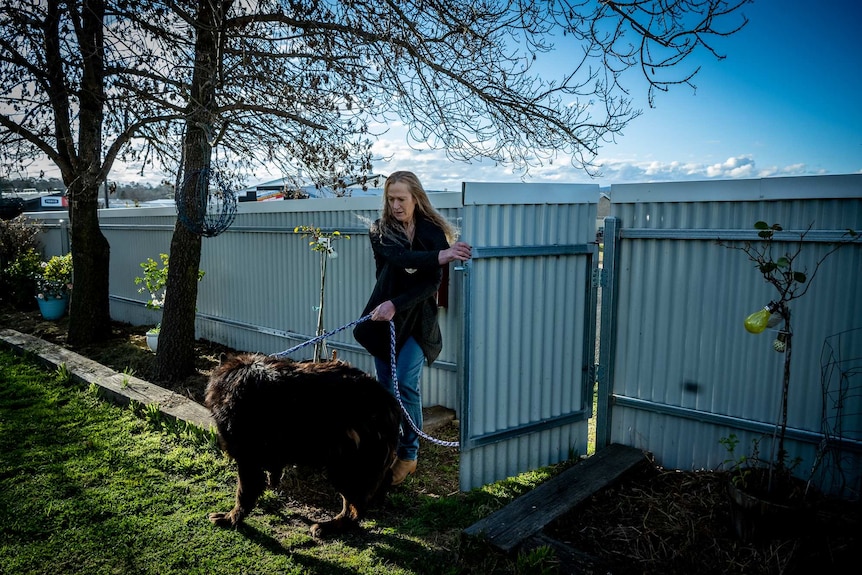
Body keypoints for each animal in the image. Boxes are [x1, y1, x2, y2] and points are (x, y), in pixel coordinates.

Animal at [205, 354, 402, 536]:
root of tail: (390, 404)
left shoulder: (247, 459)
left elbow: (243, 493)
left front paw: (231, 518)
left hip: (345, 469)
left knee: (355, 508)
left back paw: (328, 526)